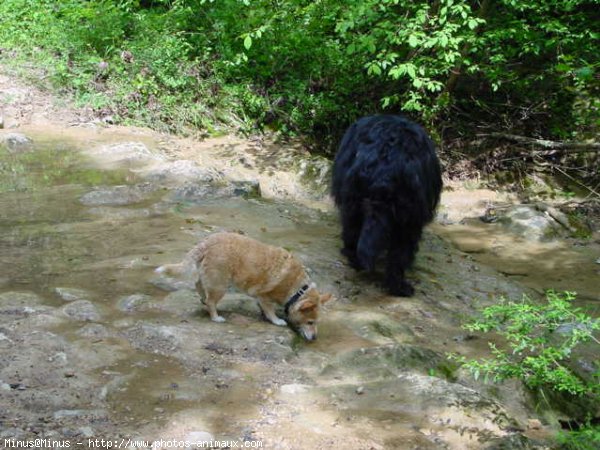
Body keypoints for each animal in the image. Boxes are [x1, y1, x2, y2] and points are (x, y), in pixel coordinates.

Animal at [156, 234, 332, 340]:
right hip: (220, 285)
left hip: (208, 279)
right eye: (310, 322)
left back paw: (203, 300)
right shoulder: (264, 296)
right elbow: (270, 310)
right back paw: (216, 317)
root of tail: (208, 241)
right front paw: (276, 320)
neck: (298, 289)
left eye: (316, 322)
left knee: (200, 287)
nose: (315, 338)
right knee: (211, 301)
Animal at [332, 115, 440, 296]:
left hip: (355, 194)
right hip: (409, 210)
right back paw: (398, 286)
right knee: (402, 247)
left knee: (352, 226)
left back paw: (355, 259)